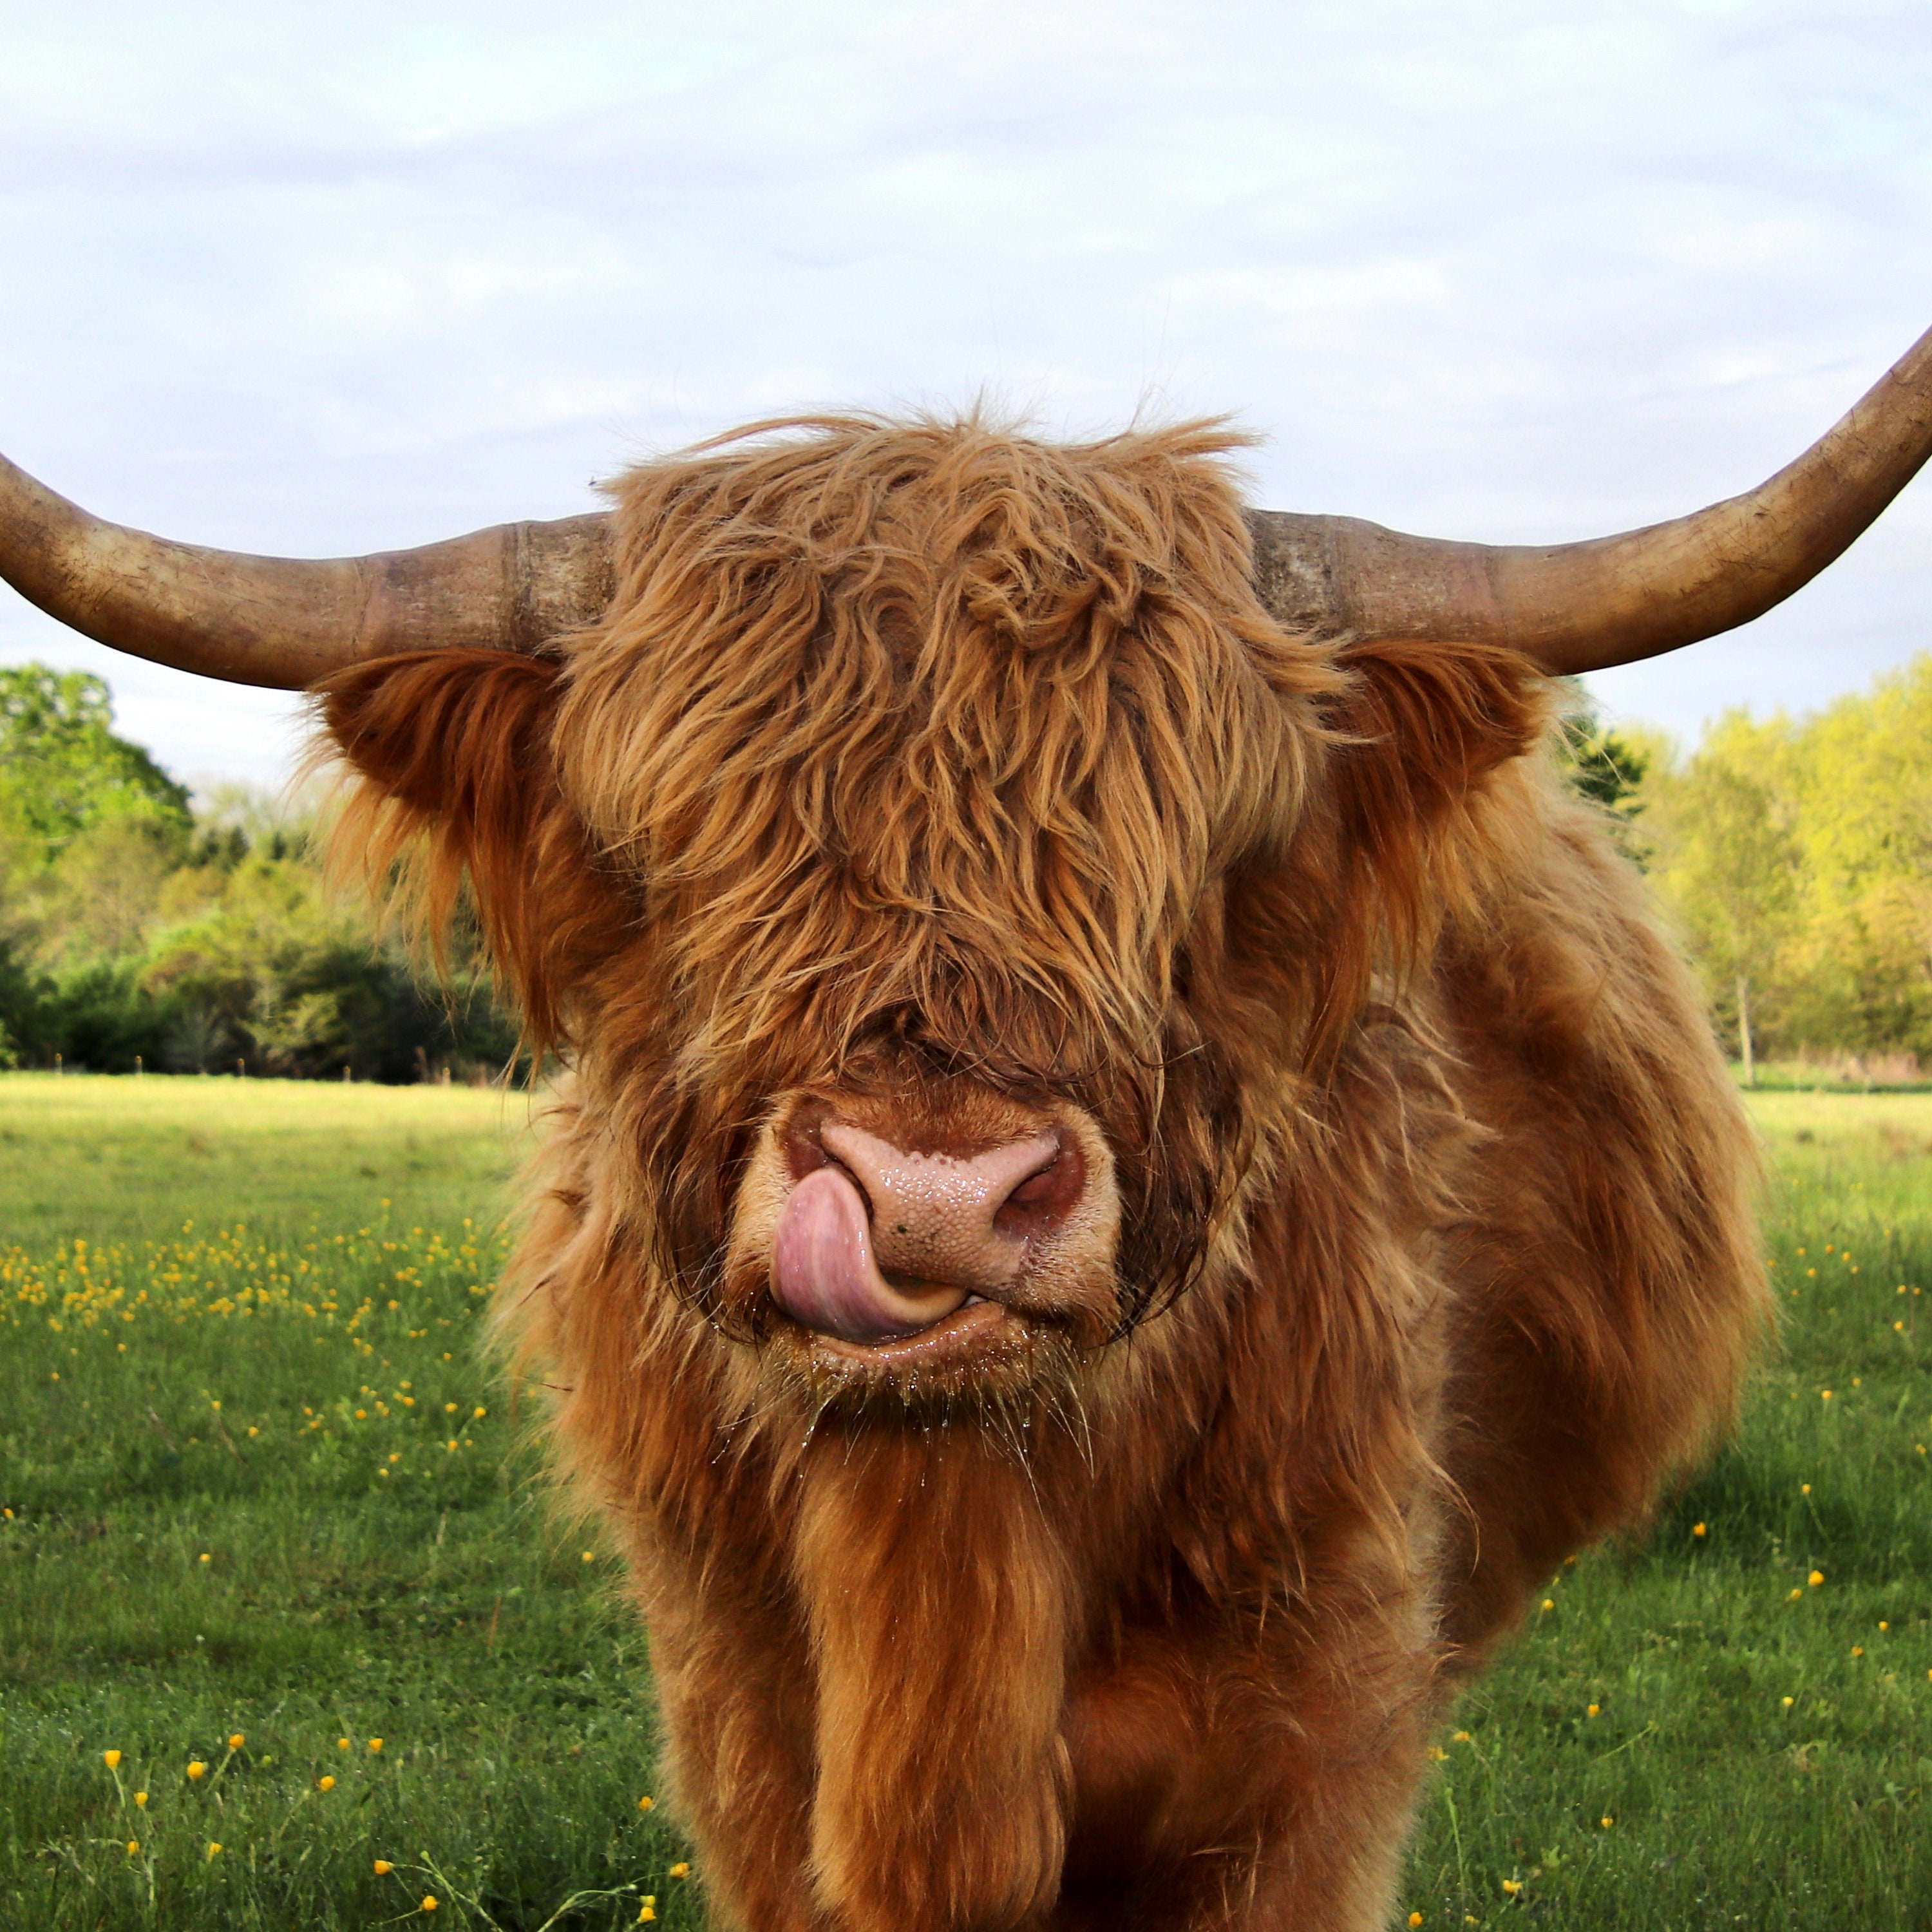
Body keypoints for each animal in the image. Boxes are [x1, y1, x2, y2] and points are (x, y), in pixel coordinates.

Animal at [3, 321, 1932, 1932]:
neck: (956, 1565)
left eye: (1205, 864)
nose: (930, 1198)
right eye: (662, 858)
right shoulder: (740, 1725)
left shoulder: (1318, 1731)